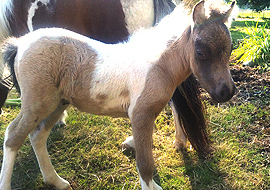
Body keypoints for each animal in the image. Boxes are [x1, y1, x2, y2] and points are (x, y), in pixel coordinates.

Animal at [0, 0, 236, 189]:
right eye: (201, 52)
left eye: (230, 49)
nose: (227, 92)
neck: (158, 66)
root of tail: (20, 44)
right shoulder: (140, 115)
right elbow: (145, 164)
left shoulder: (147, 116)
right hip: (37, 104)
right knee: (13, 136)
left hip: (57, 104)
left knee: (37, 136)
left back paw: (56, 181)